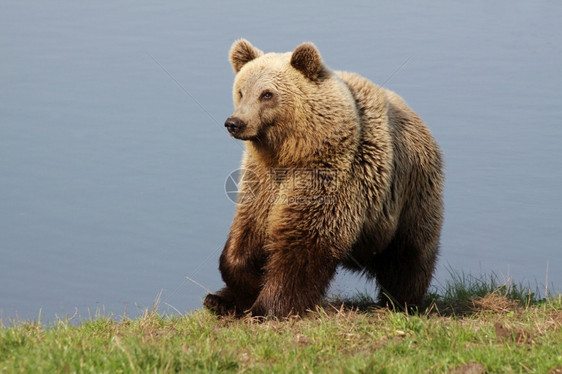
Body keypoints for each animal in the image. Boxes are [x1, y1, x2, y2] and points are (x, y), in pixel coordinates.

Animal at [201, 39, 442, 318]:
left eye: (267, 94)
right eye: (241, 91)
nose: (235, 122)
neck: (292, 153)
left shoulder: (331, 174)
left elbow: (304, 242)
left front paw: (268, 307)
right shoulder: (260, 179)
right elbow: (246, 233)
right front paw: (240, 288)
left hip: (410, 194)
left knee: (409, 255)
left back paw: (401, 301)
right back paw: (215, 299)